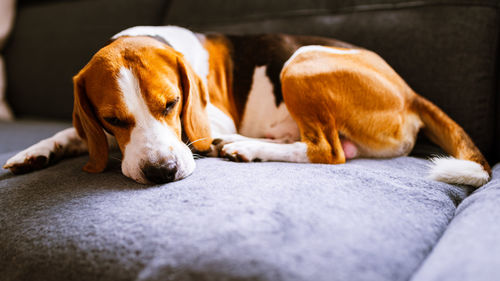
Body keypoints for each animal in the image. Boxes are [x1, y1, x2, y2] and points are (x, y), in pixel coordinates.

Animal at [1, 25, 490, 186]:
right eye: (111, 119)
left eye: (172, 104)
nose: (161, 172)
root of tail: (409, 93)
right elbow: (73, 132)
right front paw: (35, 152)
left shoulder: (208, 118)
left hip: (299, 62)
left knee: (328, 150)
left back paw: (246, 146)